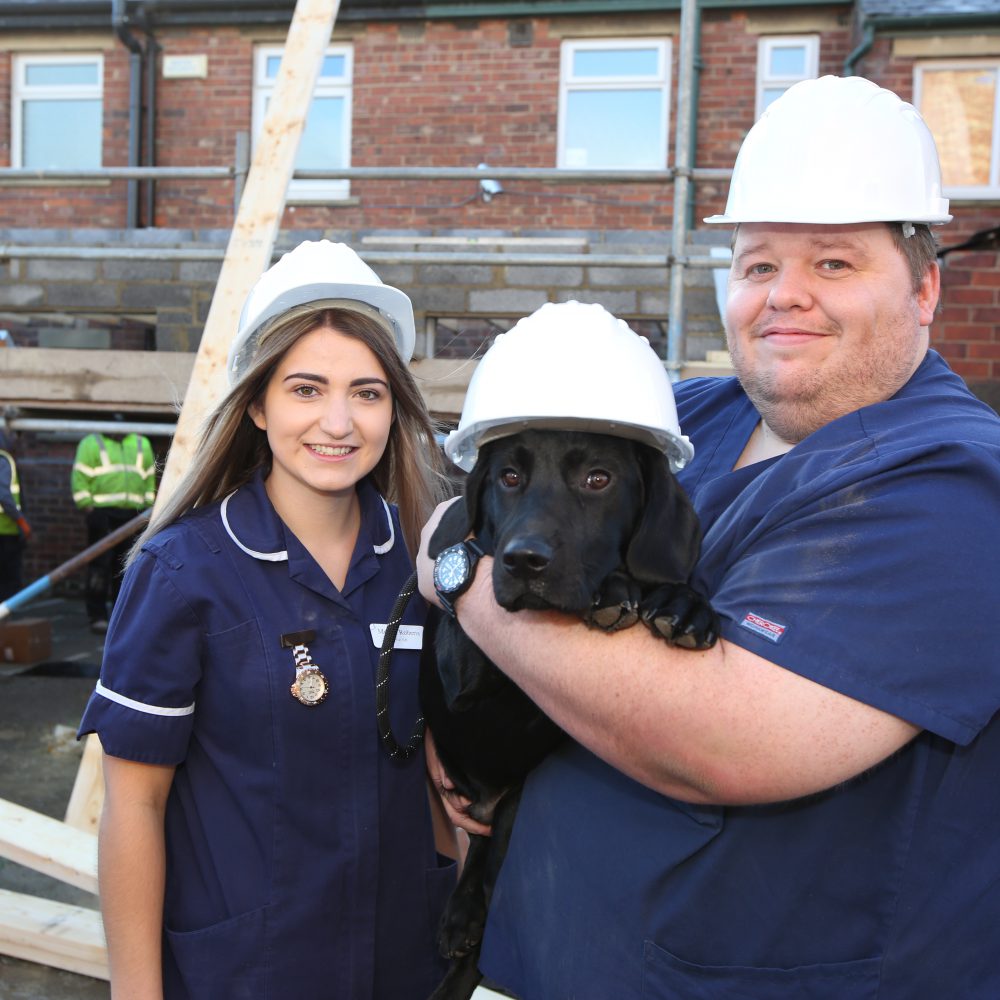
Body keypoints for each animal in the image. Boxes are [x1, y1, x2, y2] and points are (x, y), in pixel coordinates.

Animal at [418, 430, 716, 1000]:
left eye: (598, 479)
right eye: (508, 477)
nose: (523, 561)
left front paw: (683, 601)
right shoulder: (463, 673)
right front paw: (615, 589)